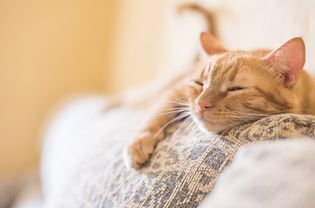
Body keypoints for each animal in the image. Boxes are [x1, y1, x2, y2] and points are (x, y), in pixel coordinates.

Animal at [124, 32, 315, 169]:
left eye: (235, 89)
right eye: (199, 83)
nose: (200, 104)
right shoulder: (176, 90)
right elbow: (156, 114)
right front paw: (139, 142)